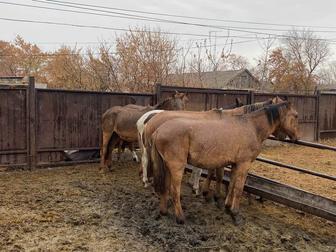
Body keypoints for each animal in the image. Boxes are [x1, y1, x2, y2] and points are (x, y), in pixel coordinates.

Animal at [151, 101, 298, 225]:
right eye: (296, 115)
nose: (296, 138)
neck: (251, 127)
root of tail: (158, 130)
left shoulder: (235, 165)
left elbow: (231, 185)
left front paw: (227, 207)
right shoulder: (244, 165)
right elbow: (238, 189)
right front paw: (235, 214)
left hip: (167, 167)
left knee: (165, 187)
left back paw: (164, 211)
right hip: (177, 167)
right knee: (175, 191)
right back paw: (180, 217)